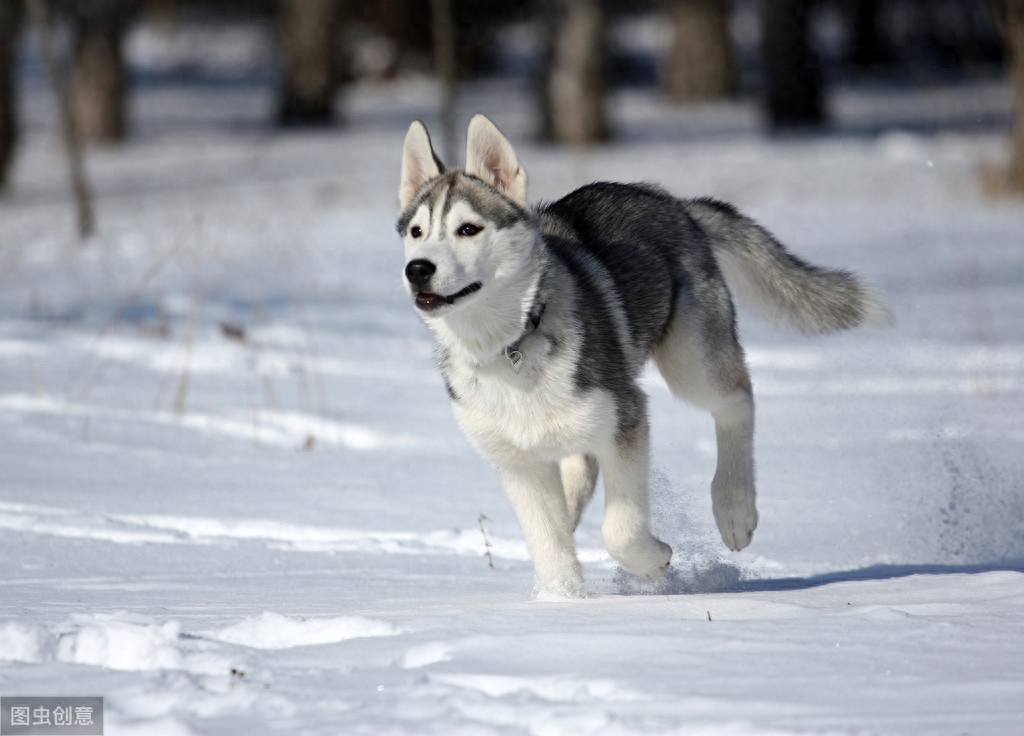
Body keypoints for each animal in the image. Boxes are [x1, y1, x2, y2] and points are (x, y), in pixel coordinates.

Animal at [395, 115, 884, 597]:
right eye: (417, 232)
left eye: (468, 229)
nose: (416, 269)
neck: (510, 344)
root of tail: (669, 200)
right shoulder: (518, 462)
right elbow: (550, 546)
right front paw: (559, 601)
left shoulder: (626, 420)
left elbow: (620, 531)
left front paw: (654, 563)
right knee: (577, 477)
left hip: (691, 361)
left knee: (737, 400)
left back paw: (734, 508)